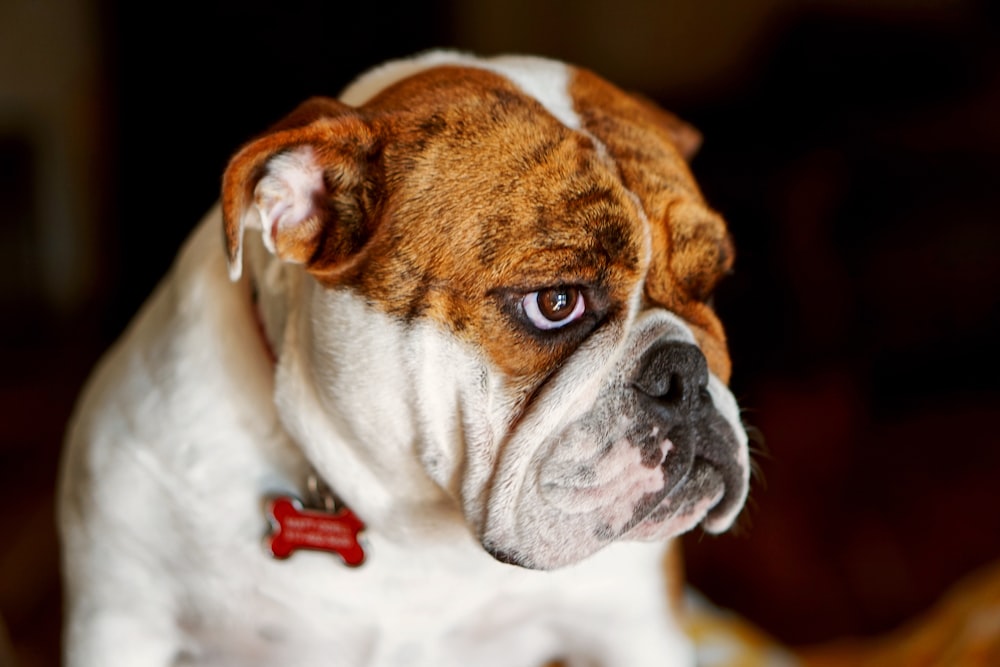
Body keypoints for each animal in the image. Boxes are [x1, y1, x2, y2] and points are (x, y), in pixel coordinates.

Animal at [58, 49, 752, 664]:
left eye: (711, 286)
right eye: (555, 303)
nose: (685, 374)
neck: (410, 519)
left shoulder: (632, 627)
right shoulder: (120, 622)